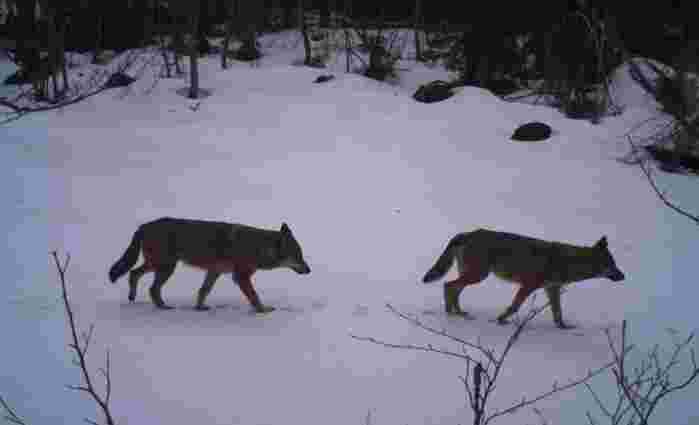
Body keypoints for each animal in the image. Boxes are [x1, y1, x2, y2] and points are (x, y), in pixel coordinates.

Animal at [109, 215, 312, 312]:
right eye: (298, 256)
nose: (309, 270)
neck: (256, 247)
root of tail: (142, 226)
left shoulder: (214, 272)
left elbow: (203, 291)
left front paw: (199, 308)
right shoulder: (240, 277)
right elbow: (254, 296)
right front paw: (262, 310)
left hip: (159, 265)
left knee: (134, 273)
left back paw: (133, 297)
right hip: (165, 267)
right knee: (150, 286)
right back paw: (162, 307)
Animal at [424, 230, 628, 326]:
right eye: (611, 265)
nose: (624, 276)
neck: (568, 262)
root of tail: (466, 233)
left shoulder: (552, 289)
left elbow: (558, 313)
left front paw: (564, 328)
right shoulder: (528, 286)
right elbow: (514, 306)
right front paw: (501, 320)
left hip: (474, 276)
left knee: (453, 289)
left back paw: (457, 313)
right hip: (477, 276)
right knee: (449, 286)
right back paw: (452, 314)